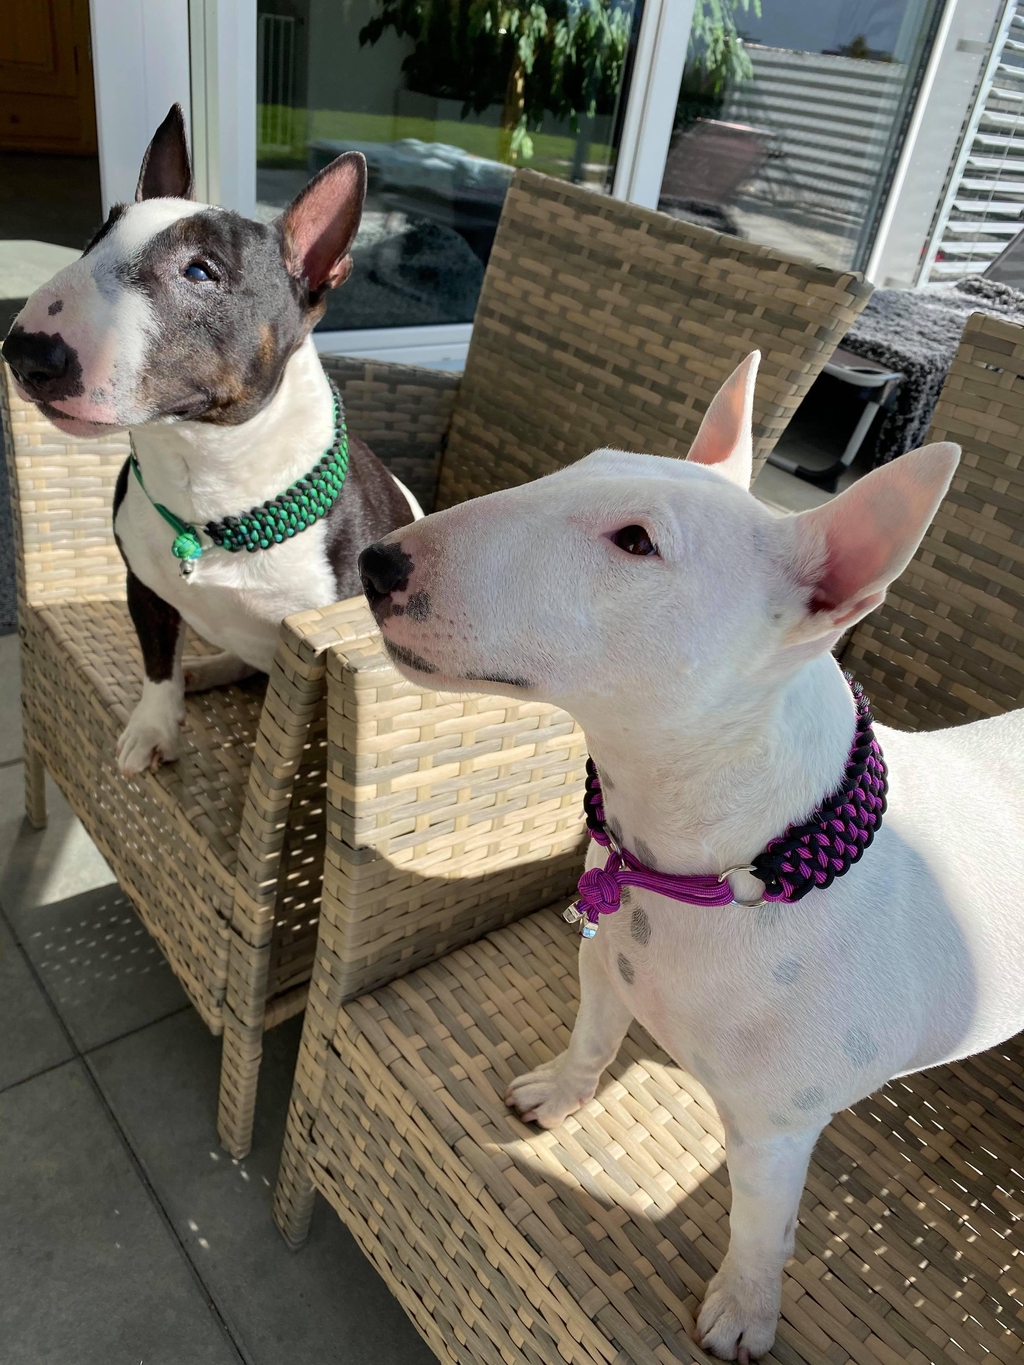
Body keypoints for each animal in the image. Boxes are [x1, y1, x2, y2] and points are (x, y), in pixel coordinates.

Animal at [2, 104, 421, 777]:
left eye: (201, 271)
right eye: (95, 238)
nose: (25, 352)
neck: (205, 476)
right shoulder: (142, 586)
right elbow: (155, 662)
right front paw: (154, 726)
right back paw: (203, 668)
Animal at [357, 351, 1024, 1360]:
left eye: (636, 541)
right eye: (583, 465)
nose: (377, 561)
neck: (729, 863)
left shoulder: (776, 1133)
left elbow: (760, 1225)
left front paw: (744, 1314)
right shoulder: (605, 960)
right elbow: (593, 1035)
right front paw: (558, 1092)